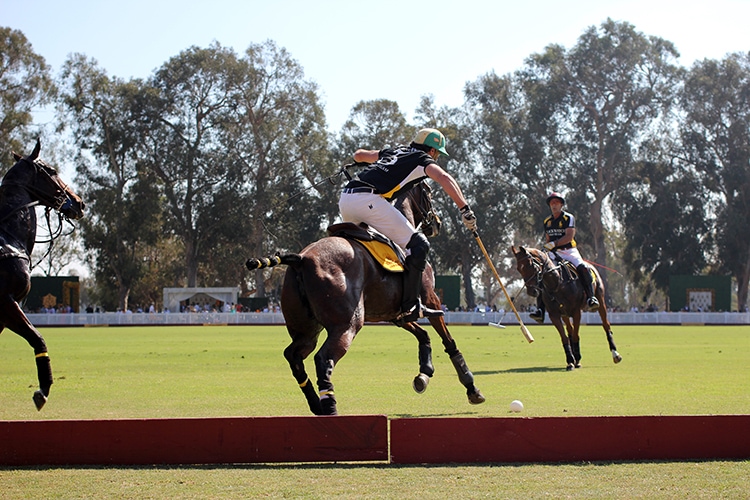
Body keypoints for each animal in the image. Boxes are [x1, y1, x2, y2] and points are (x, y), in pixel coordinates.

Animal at [247, 182, 482, 416]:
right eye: (428, 193)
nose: (437, 223)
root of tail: (301, 258)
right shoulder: (430, 299)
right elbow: (447, 339)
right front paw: (471, 386)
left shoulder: (396, 313)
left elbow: (422, 334)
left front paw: (424, 374)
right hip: (347, 324)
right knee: (323, 359)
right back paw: (330, 407)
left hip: (306, 329)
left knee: (294, 356)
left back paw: (316, 404)